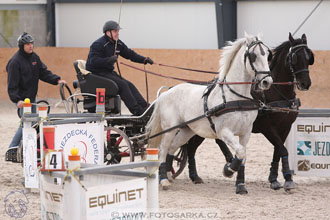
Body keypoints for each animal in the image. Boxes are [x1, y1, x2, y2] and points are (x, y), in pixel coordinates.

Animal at [148, 33, 274, 190]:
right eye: (253, 55)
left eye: (268, 54)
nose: (267, 82)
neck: (235, 97)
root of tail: (165, 94)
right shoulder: (224, 131)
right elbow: (240, 152)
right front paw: (228, 170)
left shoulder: (246, 132)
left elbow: (243, 155)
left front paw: (240, 186)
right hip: (170, 129)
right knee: (163, 150)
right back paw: (164, 180)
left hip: (186, 130)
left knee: (171, 148)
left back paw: (169, 176)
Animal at [170, 32, 314, 194]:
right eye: (294, 57)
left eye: (309, 56)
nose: (305, 83)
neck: (276, 93)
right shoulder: (268, 128)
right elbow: (283, 150)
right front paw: (287, 179)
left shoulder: (285, 128)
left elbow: (278, 151)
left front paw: (276, 179)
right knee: (192, 147)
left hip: (199, 129)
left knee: (193, 147)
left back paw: (197, 175)